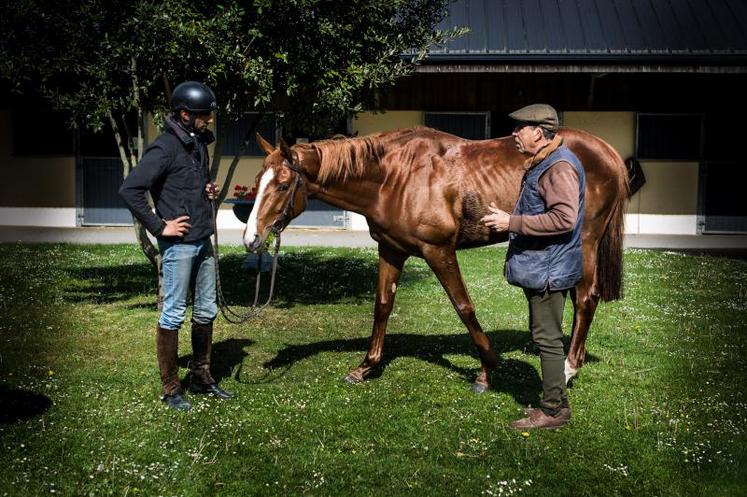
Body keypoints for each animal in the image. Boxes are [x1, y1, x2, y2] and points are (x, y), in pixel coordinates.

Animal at [243, 127, 628, 392]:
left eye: (281, 185)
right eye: (257, 181)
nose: (252, 239)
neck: (393, 177)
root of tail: (608, 152)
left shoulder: (438, 250)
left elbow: (464, 307)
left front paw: (486, 371)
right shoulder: (391, 250)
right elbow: (382, 305)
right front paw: (366, 367)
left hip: (585, 242)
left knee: (586, 298)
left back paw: (568, 368)